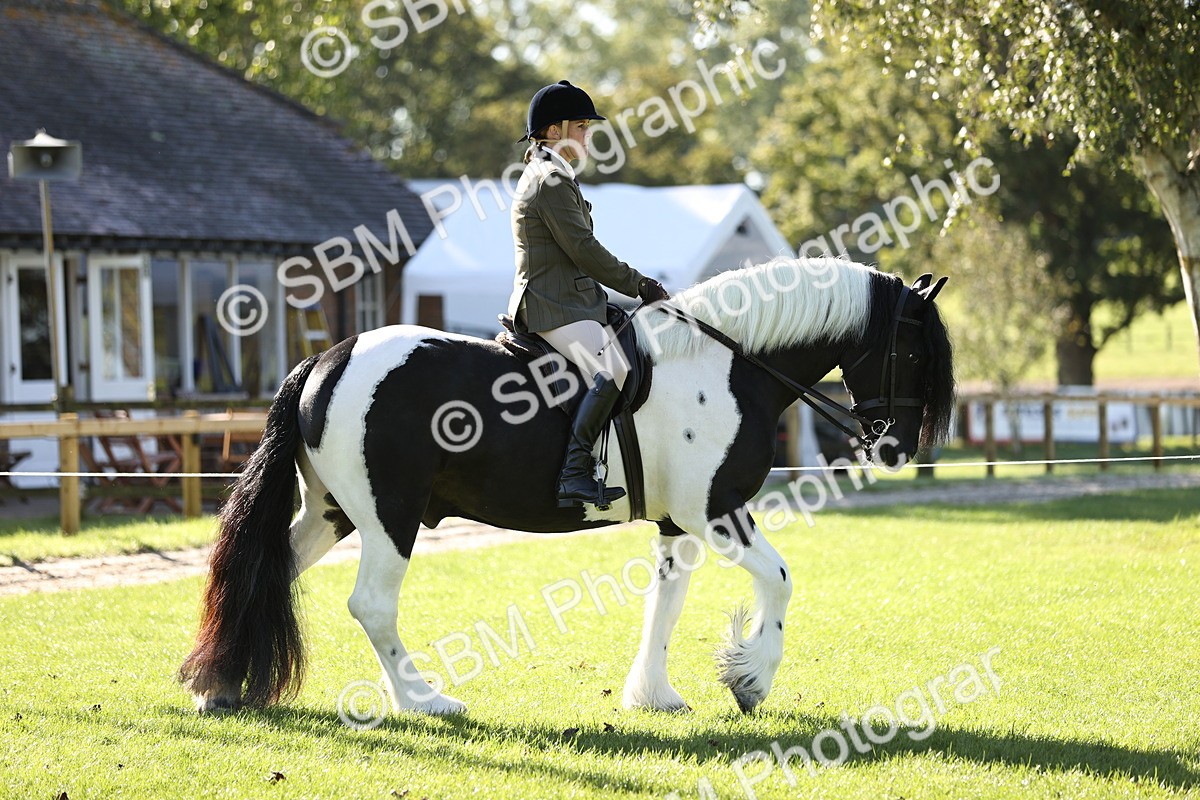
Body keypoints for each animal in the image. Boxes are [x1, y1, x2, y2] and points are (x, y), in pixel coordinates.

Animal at [180, 258, 954, 717]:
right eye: (915, 351)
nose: (891, 447)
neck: (729, 364)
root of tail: (327, 359)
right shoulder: (715, 512)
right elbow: (781, 579)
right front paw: (749, 678)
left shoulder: (678, 525)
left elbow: (664, 605)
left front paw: (655, 695)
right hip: (388, 518)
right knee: (370, 604)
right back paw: (425, 700)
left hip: (336, 511)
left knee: (267, 571)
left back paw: (223, 686)